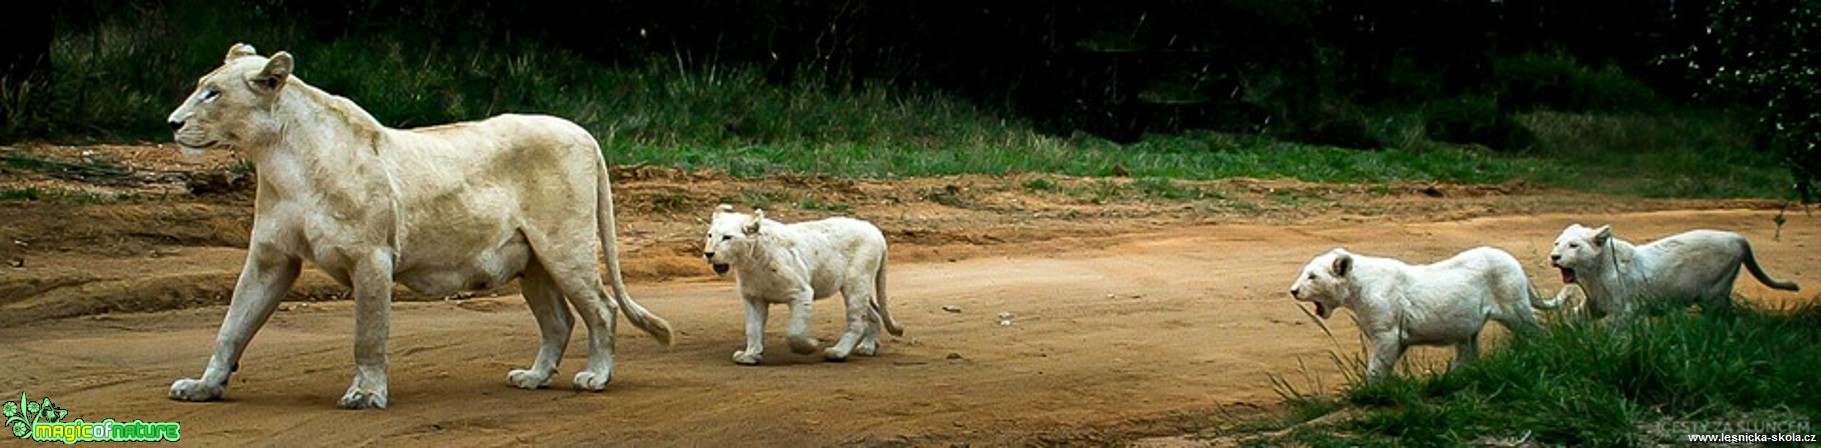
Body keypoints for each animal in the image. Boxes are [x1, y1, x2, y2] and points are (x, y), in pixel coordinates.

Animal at [163, 43, 673, 407]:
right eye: (201, 86)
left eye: (213, 93)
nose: (172, 123)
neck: (279, 158)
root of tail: (583, 132)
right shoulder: (272, 258)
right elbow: (233, 325)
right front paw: (204, 386)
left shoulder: (371, 256)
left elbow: (368, 333)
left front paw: (367, 395)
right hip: (533, 262)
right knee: (559, 320)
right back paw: (533, 378)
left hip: (563, 247)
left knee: (602, 308)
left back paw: (596, 377)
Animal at [1544, 223, 1799, 320]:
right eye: (1557, 243)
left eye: (1573, 246)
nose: (1554, 257)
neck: (1593, 275)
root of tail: (1737, 237)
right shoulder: (1593, 306)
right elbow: (1574, 317)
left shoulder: (1624, 311)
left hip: (1714, 295)